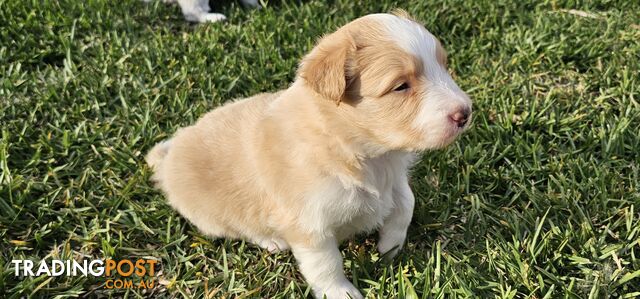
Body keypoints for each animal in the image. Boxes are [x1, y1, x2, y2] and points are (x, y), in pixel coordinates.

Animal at [149, 10, 470, 298]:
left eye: (443, 66)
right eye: (401, 86)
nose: (465, 113)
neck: (363, 152)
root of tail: (169, 154)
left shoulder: (392, 178)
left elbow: (406, 201)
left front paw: (390, 246)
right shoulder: (309, 225)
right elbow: (327, 265)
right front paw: (342, 293)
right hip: (213, 217)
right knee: (241, 228)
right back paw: (272, 241)